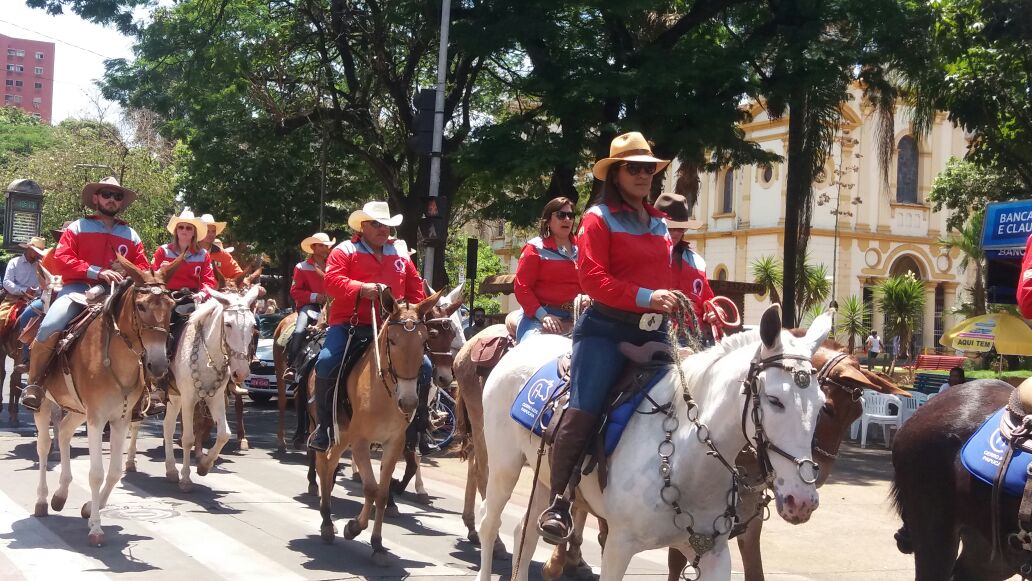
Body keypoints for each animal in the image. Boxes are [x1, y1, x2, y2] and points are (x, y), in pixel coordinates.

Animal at [31, 254, 180, 544]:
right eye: (141, 306)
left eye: (172, 305)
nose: (157, 365)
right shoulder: (97, 419)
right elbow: (96, 473)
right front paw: (97, 529)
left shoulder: (119, 419)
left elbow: (114, 472)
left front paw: (91, 509)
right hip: (44, 404)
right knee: (44, 446)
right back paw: (42, 500)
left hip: (77, 410)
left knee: (64, 433)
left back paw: (60, 495)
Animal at [131, 286, 258, 491]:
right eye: (228, 324)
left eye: (253, 326)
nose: (241, 372)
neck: (208, 357)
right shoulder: (189, 399)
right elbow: (188, 438)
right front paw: (186, 479)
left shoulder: (215, 398)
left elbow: (223, 434)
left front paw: (204, 466)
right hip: (144, 392)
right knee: (135, 423)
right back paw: (129, 462)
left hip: (174, 397)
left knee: (167, 426)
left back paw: (171, 470)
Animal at [313, 288, 443, 565]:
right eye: (392, 340)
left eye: (424, 341)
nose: (409, 402)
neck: (384, 392)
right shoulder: (360, 441)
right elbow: (370, 488)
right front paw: (353, 528)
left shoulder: (393, 442)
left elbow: (382, 493)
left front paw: (377, 544)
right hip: (329, 429)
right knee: (323, 464)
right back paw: (327, 522)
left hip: (343, 436)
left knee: (330, 466)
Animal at [478, 305, 833, 581]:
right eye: (775, 401)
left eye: (821, 405)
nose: (802, 501)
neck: (688, 462)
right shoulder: (618, 546)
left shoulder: (713, 554)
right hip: (504, 466)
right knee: (490, 525)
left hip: (544, 477)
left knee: (524, 535)